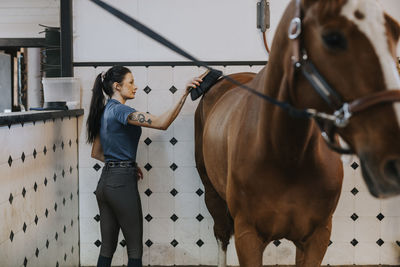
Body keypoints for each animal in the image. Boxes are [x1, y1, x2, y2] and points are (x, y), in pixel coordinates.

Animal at [194, 0, 400, 266]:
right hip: (212, 193)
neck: (289, 155)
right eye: (332, 37)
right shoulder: (248, 237)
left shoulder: (317, 237)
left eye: (395, 31)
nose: (393, 160)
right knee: (221, 232)